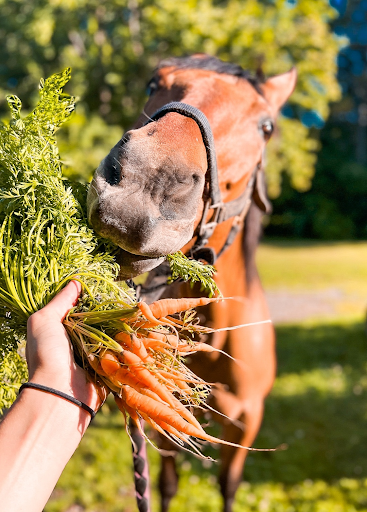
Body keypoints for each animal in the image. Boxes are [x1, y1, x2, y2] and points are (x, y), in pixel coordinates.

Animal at [87, 56, 298, 512]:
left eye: (267, 126)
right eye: (154, 83)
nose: (147, 184)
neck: (215, 343)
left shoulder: (246, 424)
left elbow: (228, 485)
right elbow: (166, 484)